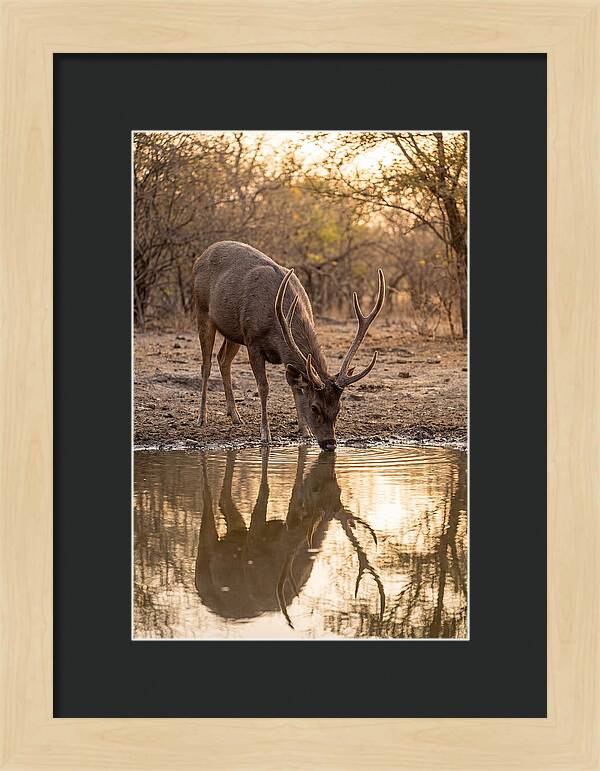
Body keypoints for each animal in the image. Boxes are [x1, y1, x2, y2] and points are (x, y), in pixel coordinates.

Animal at [192, 241, 385, 449]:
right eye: (314, 407)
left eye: (339, 407)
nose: (330, 443)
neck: (276, 327)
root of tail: (201, 256)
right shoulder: (252, 341)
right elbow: (264, 387)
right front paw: (265, 434)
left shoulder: (281, 353)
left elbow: (295, 387)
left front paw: (304, 430)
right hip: (202, 310)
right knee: (206, 365)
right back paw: (202, 418)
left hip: (233, 331)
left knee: (223, 359)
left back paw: (235, 416)